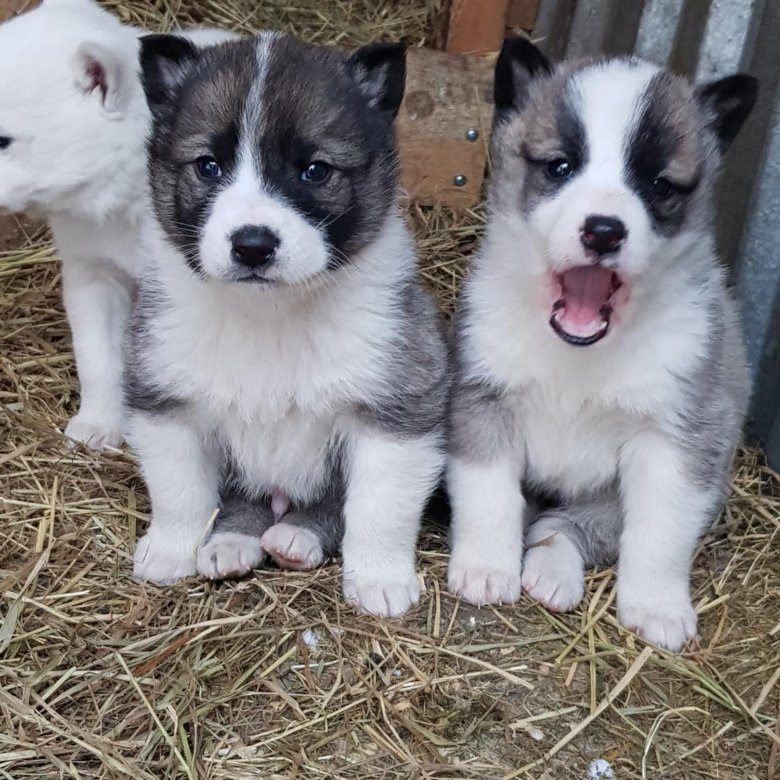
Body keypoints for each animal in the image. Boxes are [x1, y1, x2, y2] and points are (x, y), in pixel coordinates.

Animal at [125, 33, 448, 620]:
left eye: (315, 170)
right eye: (208, 166)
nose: (252, 245)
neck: (269, 313)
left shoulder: (399, 409)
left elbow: (379, 506)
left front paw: (380, 579)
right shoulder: (165, 399)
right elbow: (180, 489)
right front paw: (170, 549)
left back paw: (296, 538)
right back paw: (232, 543)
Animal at [448, 39, 760, 652]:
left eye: (659, 185)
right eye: (560, 167)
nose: (604, 230)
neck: (578, 355)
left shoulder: (679, 442)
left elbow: (659, 532)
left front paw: (657, 606)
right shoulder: (483, 402)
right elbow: (488, 494)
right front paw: (485, 568)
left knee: (570, 527)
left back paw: (552, 572)